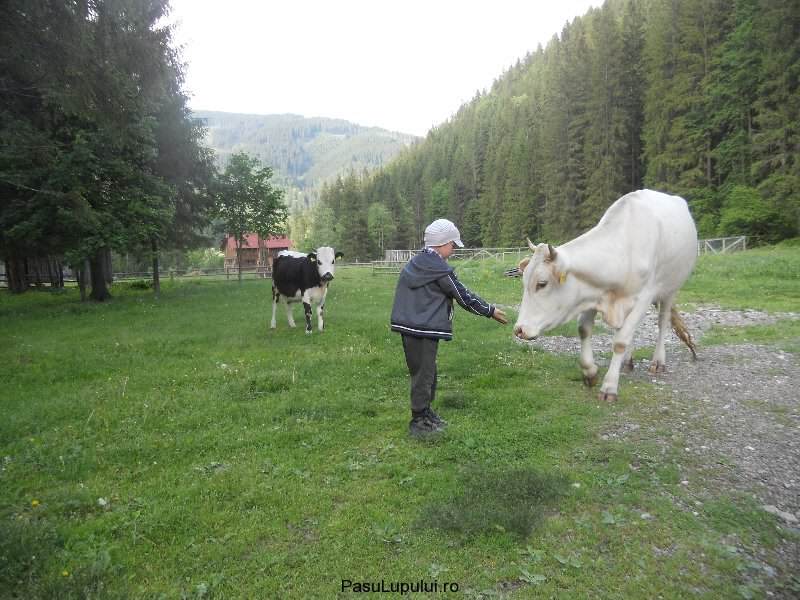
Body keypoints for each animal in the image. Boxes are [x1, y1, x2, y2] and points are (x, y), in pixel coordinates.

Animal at [516, 190, 696, 400]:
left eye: (542, 283)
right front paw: (590, 372)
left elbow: (620, 341)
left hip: (670, 289)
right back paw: (627, 362)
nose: (519, 330)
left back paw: (658, 362)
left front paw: (609, 387)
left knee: (662, 321)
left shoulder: (643, 298)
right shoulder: (592, 293)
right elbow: (584, 330)